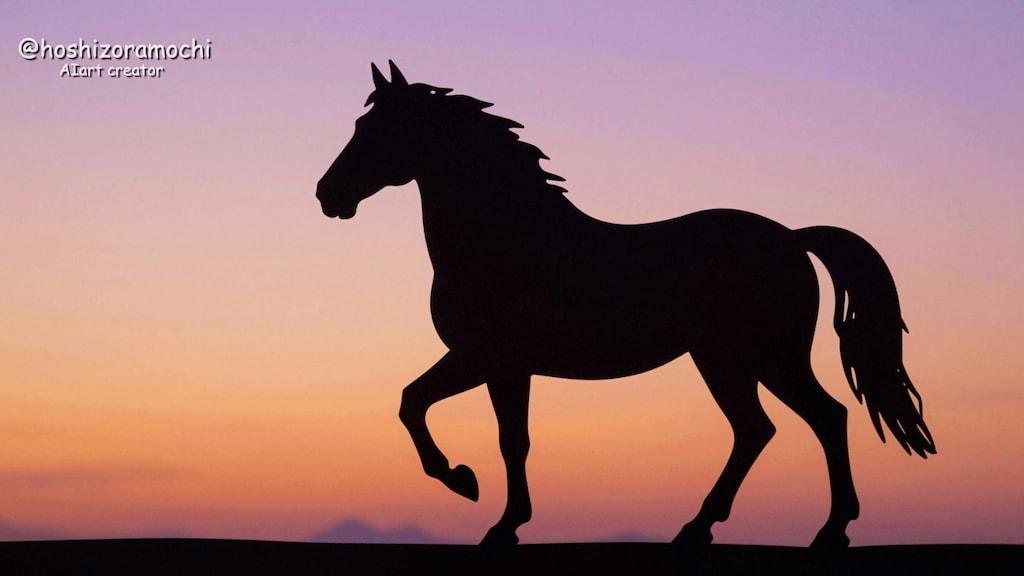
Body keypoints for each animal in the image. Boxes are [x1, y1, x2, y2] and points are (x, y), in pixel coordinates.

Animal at [316, 61, 935, 549]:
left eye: (379, 128)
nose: (327, 195)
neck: (507, 237)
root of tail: (791, 237)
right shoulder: (501, 365)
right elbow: (466, 422)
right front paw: (492, 507)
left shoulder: (487, 358)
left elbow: (439, 413)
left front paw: (473, 492)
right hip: (722, 360)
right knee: (757, 429)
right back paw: (699, 528)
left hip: (771, 358)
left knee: (825, 417)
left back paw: (830, 530)